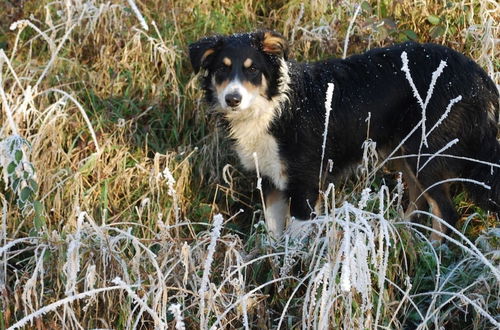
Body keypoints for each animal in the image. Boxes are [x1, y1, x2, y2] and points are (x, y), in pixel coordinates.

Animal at [188, 31, 500, 240]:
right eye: (221, 69)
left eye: (252, 69)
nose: (233, 99)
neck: (273, 107)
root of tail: (479, 76)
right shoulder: (269, 180)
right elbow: (275, 237)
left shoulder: (304, 183)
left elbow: (295, 241)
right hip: (407, 153)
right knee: (419, 202)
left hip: (426, 154)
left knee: (445, 213)